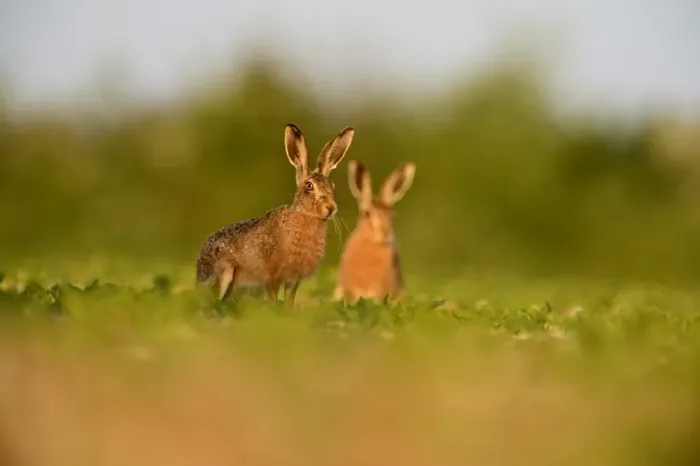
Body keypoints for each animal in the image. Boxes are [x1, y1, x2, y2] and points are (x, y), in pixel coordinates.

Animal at [196, 123, 355, 308]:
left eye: (332, 186)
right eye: (309, 186)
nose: (331, 208)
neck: (305, 216)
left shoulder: (293, 280)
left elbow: (289, 302)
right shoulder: (272, 276)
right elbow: (272, 298)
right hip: (224, 274)